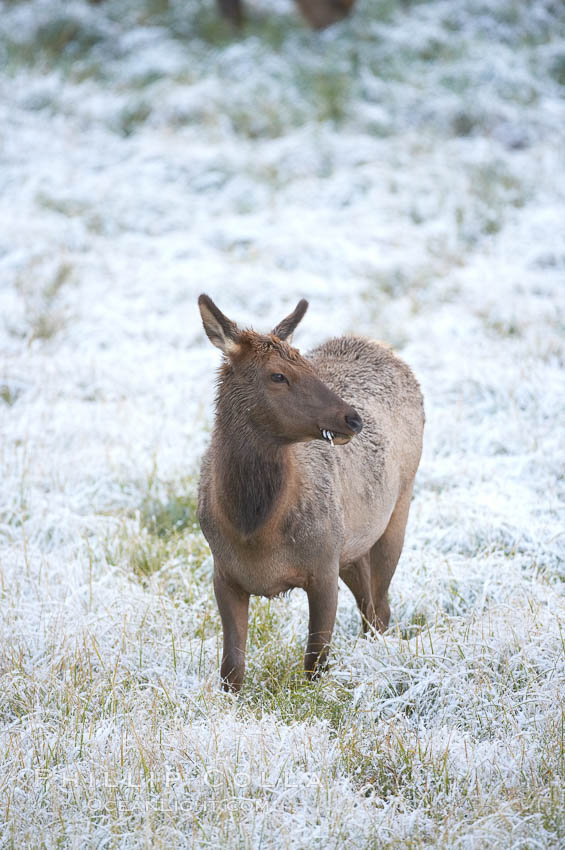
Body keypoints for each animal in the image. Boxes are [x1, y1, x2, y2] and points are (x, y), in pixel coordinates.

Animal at [198, 294, 424, 692]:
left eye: (306, 363)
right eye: (277, 375)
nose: (353, 419)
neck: (253, 530)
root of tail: (381, 346)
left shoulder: (323, 565)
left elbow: (315, 662)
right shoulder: (223, 573)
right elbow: (231, 670)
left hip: (396, 511)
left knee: (380, 609)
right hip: (351, 547)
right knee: (370, 607)